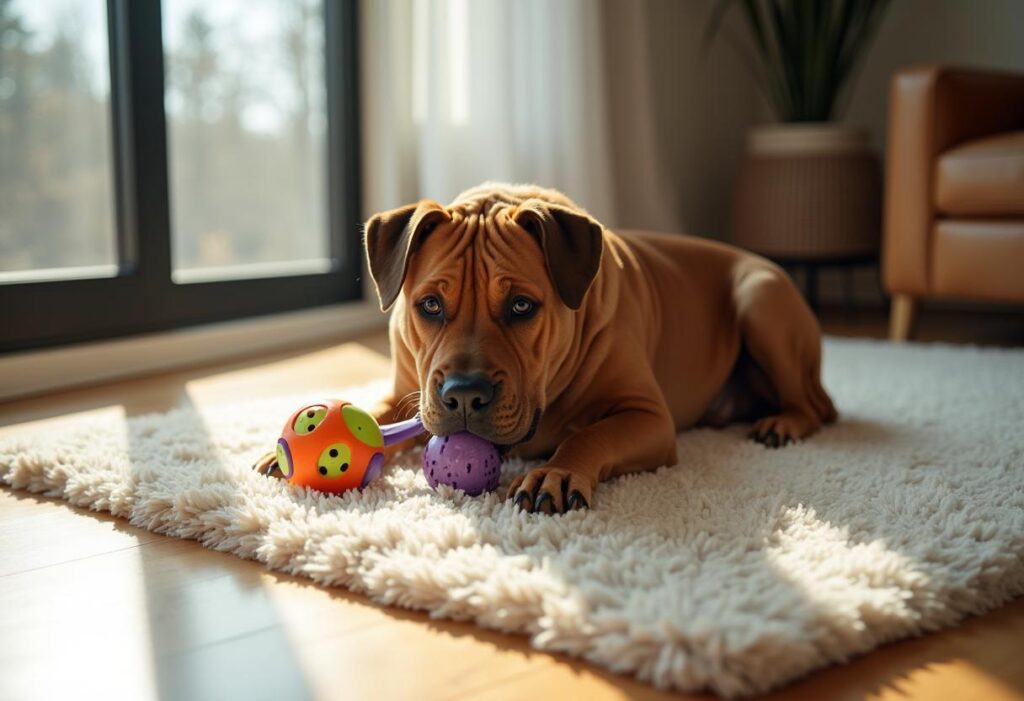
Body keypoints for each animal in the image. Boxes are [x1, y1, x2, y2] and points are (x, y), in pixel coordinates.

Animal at [356, 184, 835, 513]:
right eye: (430, 305)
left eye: (521, 306)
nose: (464, 396)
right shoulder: (402, 393)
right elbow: (374, 415)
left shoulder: (647, 416)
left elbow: (590, 434)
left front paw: (556, 472)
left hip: (760, 298)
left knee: (811, 406)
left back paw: (783, 424)